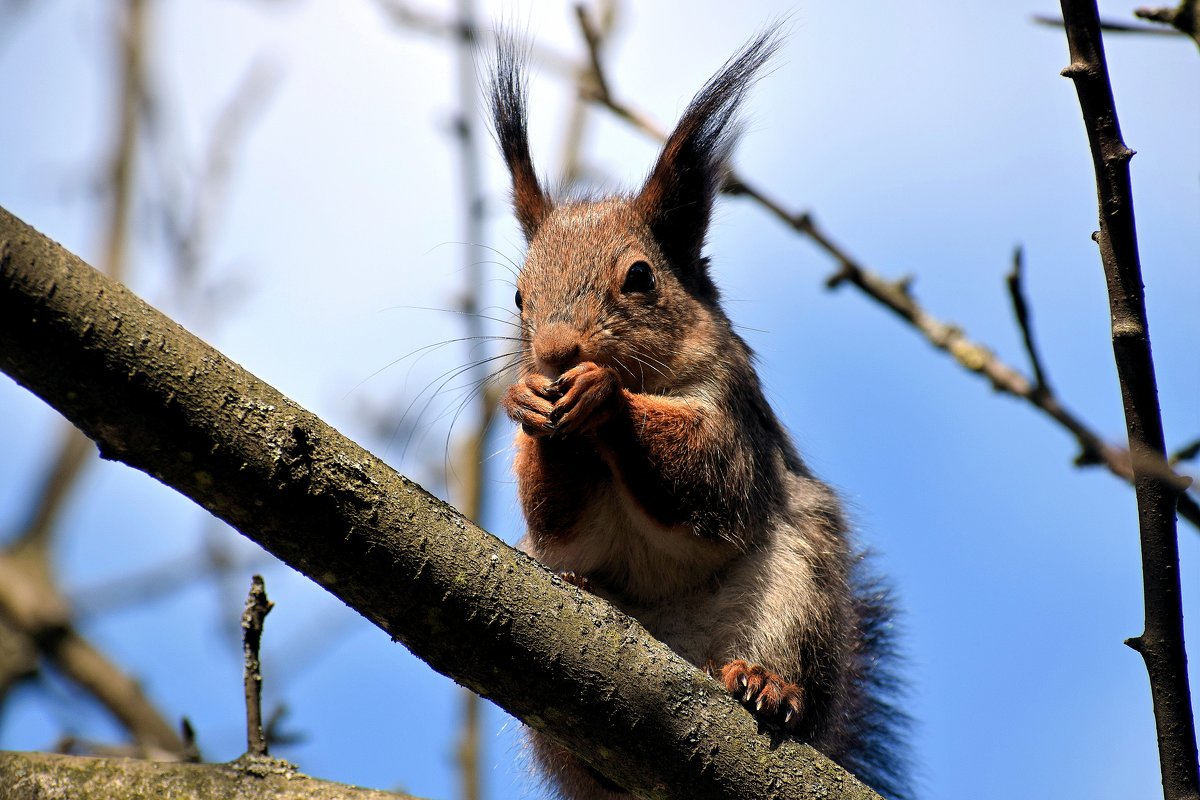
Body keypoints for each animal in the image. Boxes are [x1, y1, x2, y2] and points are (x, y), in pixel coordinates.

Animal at [487, 31, 907, 800]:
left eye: (640, 277)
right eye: (519, 296)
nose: (556, 355)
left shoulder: (731, 410)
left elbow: (710, 479)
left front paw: (606, 395)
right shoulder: (556, 509)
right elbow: (556, 520)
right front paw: (528, 402)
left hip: (798, 590)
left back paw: (766, 685)